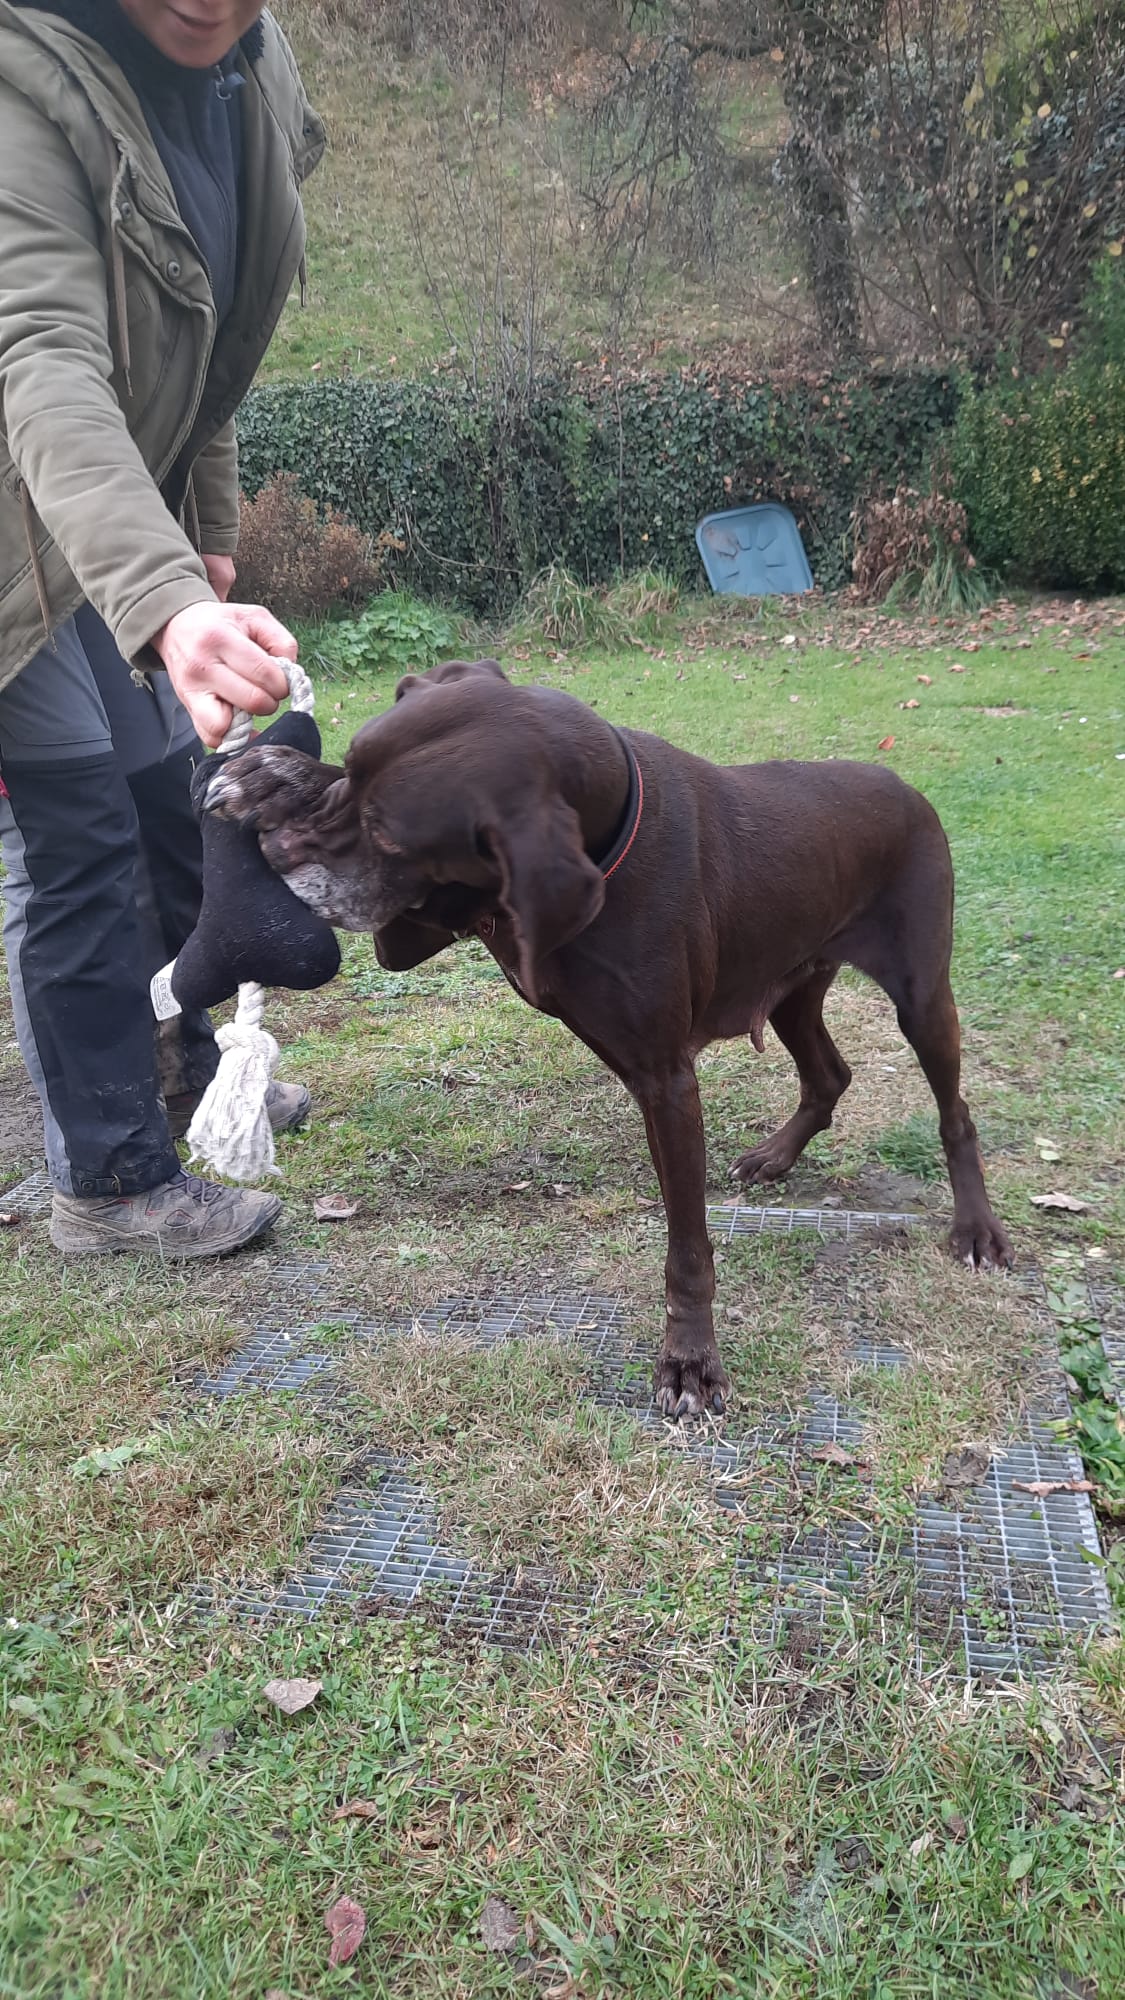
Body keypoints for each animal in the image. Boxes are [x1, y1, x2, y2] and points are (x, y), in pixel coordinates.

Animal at [209, 658, 1013, 1418]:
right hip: (789, 985)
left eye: (389, 835)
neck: (611, 827)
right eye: (350, 768)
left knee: (953, 1113)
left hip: (919, 998)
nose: (280, 854)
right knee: (828, 1075)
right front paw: (273, 774)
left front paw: (690, 1361)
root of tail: (905, 786)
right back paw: (777, 1155)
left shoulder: (665, 1081)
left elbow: (687, 1248)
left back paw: (976, 1229)